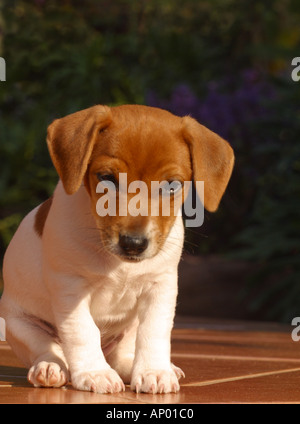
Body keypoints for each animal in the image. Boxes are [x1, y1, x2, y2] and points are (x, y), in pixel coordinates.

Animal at [0, 103, 234, 394]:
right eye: (107, 179)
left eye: (172, 185)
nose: (133, 244)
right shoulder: (70, 288)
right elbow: (82, 331)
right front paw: (95, 372)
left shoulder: (161, 286)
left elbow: (155, 331)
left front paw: (155, 371)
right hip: (19, 325)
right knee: (50, 348)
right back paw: (50, 368)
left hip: (127, 330)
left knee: (123, 356)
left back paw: (148, 368)